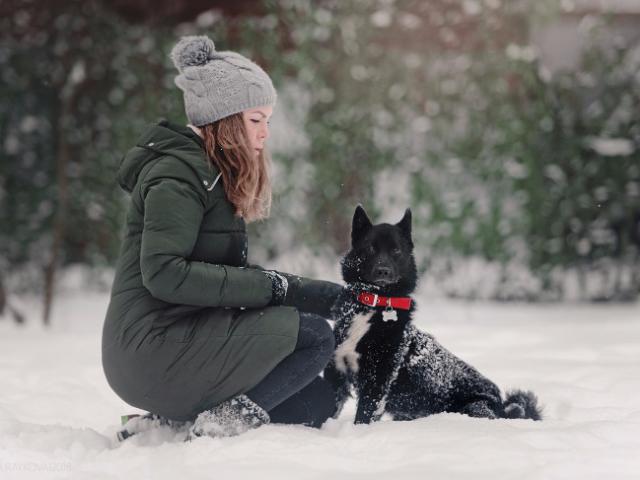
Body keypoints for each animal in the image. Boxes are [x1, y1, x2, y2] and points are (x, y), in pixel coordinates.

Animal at [324, 206, 540, 424]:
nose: (383, 271)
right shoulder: (337, 371)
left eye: (396, 250)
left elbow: (364, 415)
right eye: (370, 248)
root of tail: (501, 406)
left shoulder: (377, 379)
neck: (374, 301)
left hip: (474, 407)